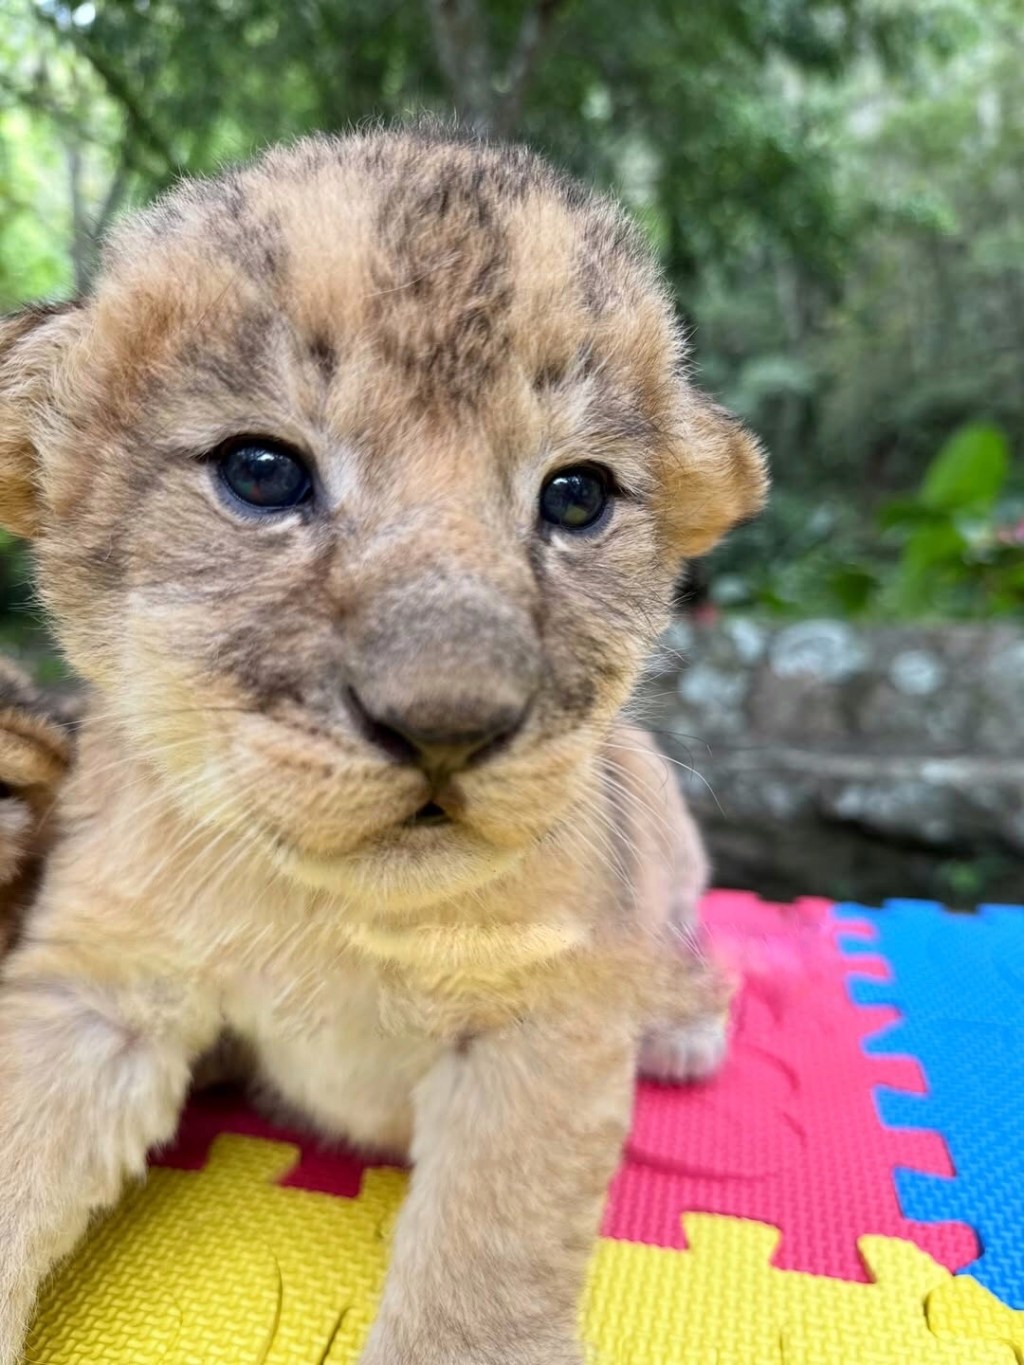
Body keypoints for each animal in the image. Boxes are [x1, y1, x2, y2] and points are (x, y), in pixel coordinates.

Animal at [0, 126, 766, 1364]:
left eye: (577, 496)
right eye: (261, 473)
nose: (448, 723)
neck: (335, 913)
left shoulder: (544, 1020)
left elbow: (482, 1269)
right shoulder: (96, 985)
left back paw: (684, 1027)